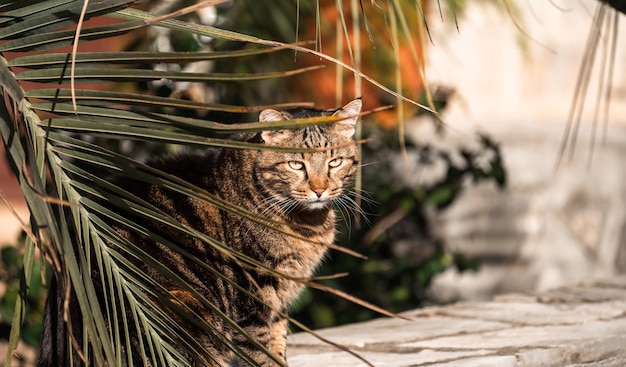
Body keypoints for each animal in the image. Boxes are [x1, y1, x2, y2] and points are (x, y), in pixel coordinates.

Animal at [37, 99, 360, 366]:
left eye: (334, 162)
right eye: (295, 164)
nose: (319, 189)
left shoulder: (279, 300)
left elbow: (278, 347)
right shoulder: (252, 300)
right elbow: (262, 354)